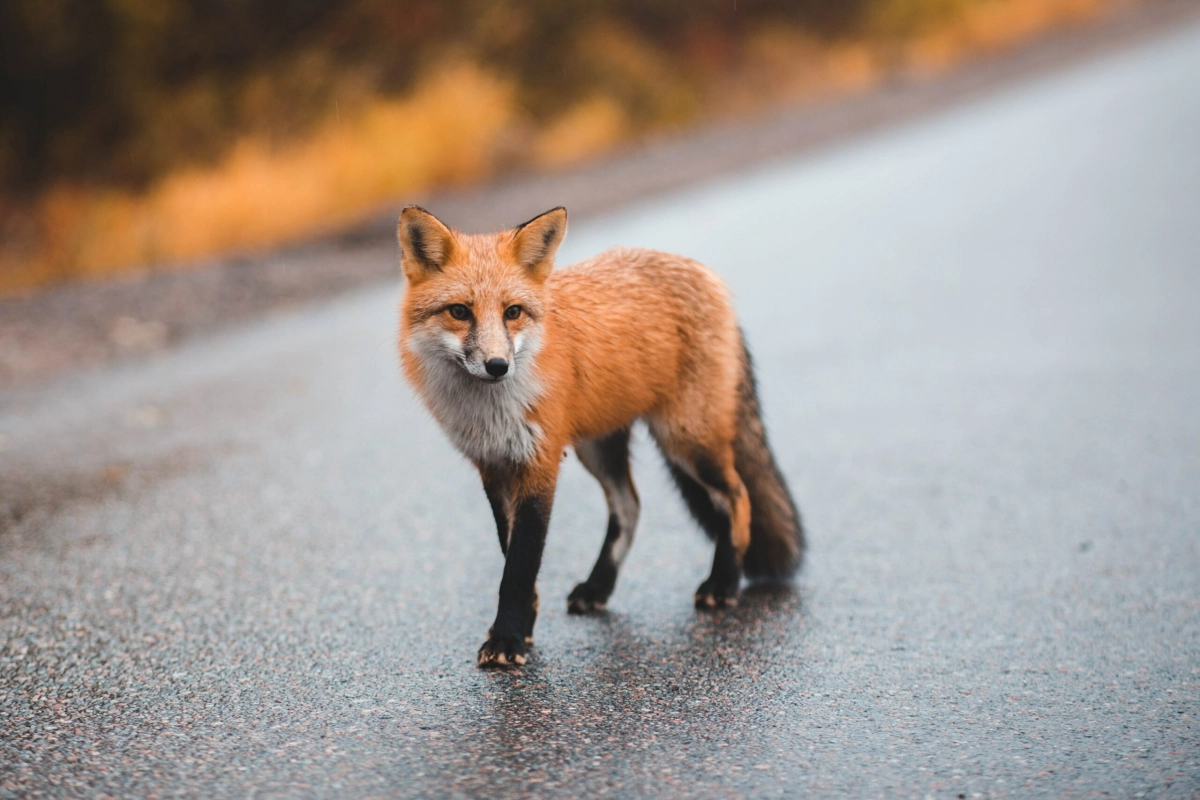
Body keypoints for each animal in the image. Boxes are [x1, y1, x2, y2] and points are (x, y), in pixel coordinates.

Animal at [396, 203, 806, 666]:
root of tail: (702, 271)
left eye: (512, 312)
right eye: (460, 312)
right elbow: (511, 555)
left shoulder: (540, 463)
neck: (490, 411)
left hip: (686, 439)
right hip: (599, 447)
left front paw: (507, 639)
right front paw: (524, 627)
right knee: (630, 507)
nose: (498, 366)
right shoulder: (494, 465)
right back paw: (599, 587)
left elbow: (519, 565)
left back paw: (723, 583)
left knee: (737, 497)